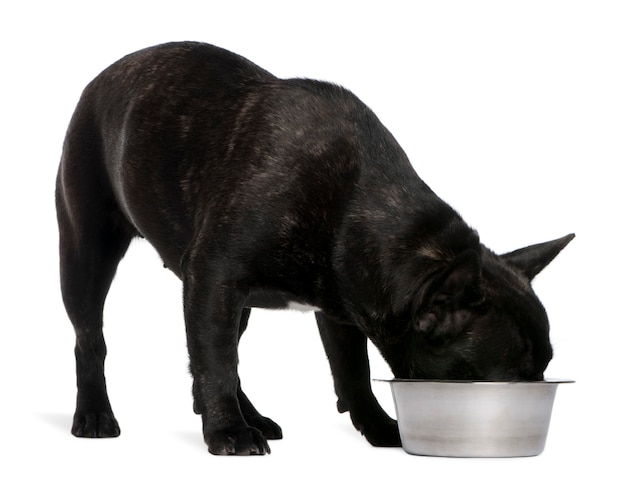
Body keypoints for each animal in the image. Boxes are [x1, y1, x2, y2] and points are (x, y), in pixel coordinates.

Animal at [56, 41, 572, 454]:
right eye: (507, 375)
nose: (537, 388)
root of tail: (104, 76)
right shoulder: (214, 276)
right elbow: (217, 360)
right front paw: (227, 433)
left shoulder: (341, 307)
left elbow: (352, 372)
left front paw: (379, 427)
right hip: (86, 250)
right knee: (91, 338)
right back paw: (97, 415)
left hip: (235, 303)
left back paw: (247, 414)